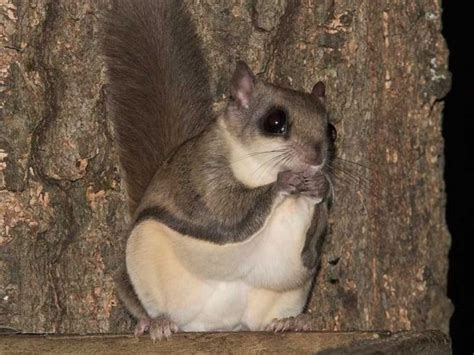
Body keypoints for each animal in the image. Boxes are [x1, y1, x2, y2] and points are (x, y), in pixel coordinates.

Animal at [103, 0, 336, 342]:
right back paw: (154, 322)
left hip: (287, 291)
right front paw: (284, 181)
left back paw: (291, 322)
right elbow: (226, 210)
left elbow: (315, 232)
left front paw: (318, 187)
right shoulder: (203, 172)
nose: (317, 157)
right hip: (143, 255)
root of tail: (220, 324)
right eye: (275, 122)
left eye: (331, 130)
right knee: (136, 295)